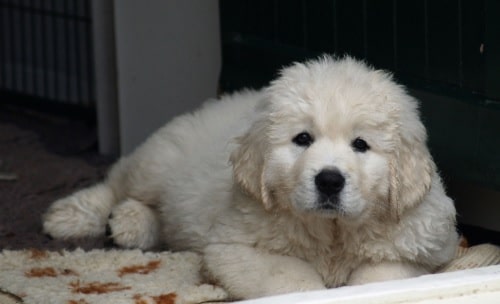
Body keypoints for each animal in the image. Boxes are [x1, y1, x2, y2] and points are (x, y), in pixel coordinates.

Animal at [43, 56, 458, 300]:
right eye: (302, 139)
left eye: (361, 144)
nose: (329, 180)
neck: (332, 232)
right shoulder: (237, 247)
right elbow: (292, 280)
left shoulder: (420, 247)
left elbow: (380, 278)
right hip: (158, 161)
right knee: (118, 181)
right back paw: (72, 216)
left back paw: (130, 224)